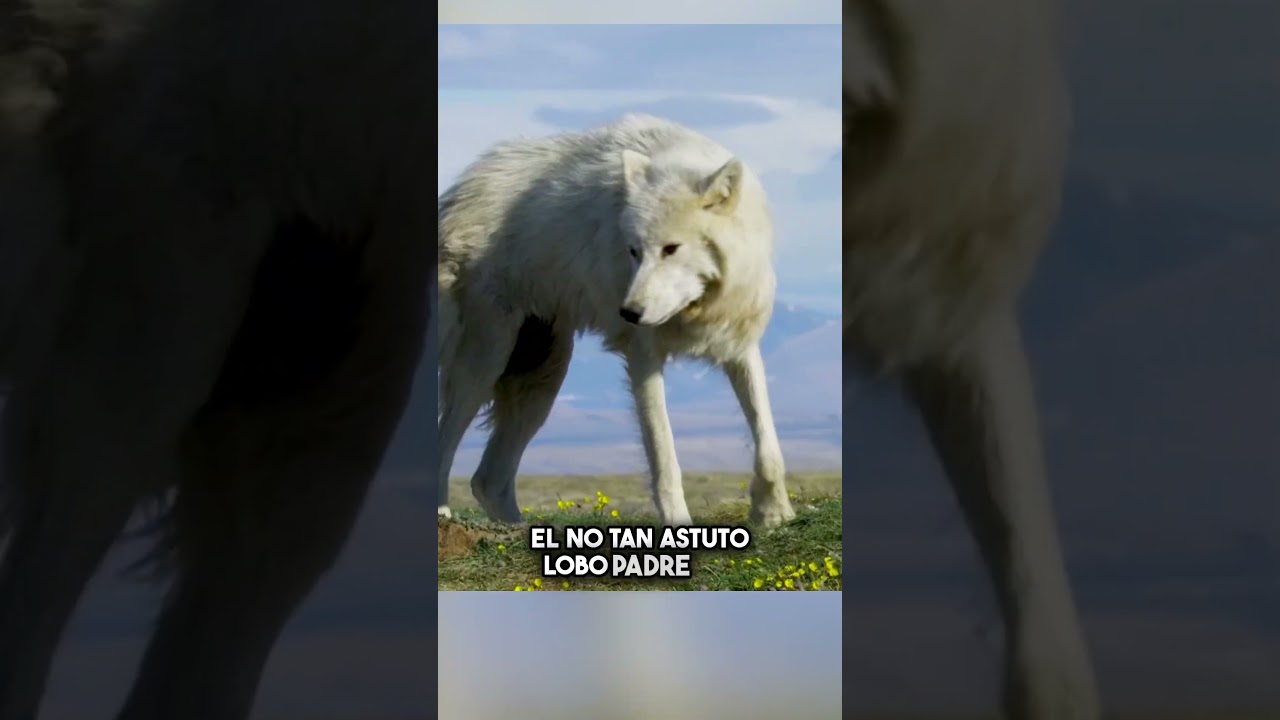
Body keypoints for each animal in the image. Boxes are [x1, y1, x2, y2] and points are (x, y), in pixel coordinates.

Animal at [436, 114, 795, 528]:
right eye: (633, 251)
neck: (698, 306)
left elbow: (768, 443)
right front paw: (679, 524)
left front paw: (772, 512)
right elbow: (664, 457)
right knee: (446, 443)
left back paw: (518, 526)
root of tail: (460, 191)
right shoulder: (642, 357)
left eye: (671, 248)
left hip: (543, 379)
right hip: (484, 365)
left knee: (488, 480)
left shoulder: (739, 345)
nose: (629, 313)